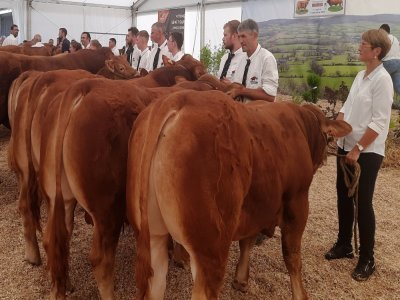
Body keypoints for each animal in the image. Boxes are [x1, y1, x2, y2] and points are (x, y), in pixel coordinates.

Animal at [126, 91, 352, 300]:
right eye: (328, 138)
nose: (325, 159)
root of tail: (176, 100)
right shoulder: (297, 201)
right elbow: (292, 256)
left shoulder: (254, 205)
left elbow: (247, 241)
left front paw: (241, 279)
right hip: (211, 247)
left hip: (153, 238)